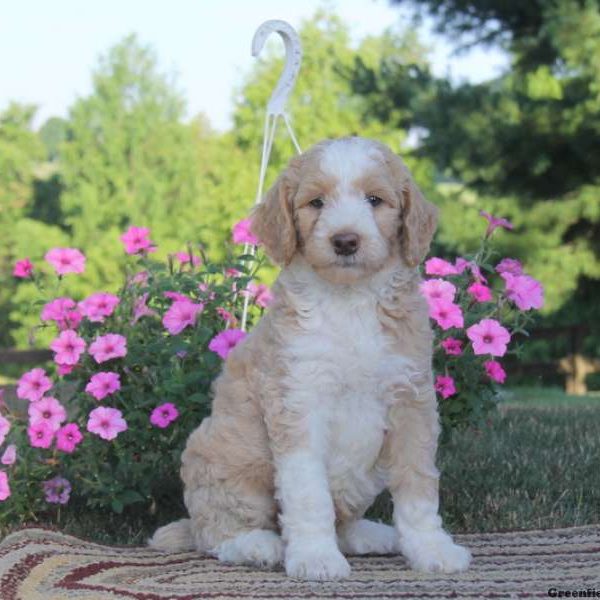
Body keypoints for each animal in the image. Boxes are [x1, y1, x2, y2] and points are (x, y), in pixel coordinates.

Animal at [149, 137, 468, 580]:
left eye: (375, 200)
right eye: (316, 202)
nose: (345, 240)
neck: (349, 300)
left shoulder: (411, 400)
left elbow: (418, 486)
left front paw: (431, 549)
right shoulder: (298, 401)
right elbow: (307, 493)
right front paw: (316, 557)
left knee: (342, 519)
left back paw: (369, 535)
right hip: (227, 463)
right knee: (216, 531)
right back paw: (259, 545)